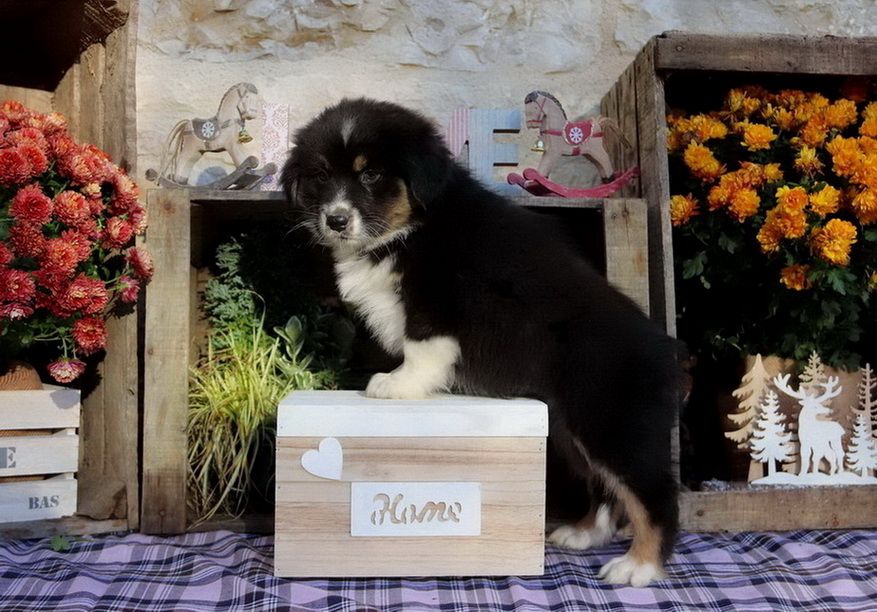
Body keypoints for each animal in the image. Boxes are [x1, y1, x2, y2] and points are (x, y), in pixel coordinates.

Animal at [281, 98, 682, 586]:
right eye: (320, 176)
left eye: (371, 174)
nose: (335, 220)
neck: (415, 224)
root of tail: (669, 355)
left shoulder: (440, 299)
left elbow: (421, 345)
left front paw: (396, 385)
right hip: (572, 431)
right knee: (602, 485)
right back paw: (583, 533)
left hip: (613, 424)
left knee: (653, 494)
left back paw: (638, 566)